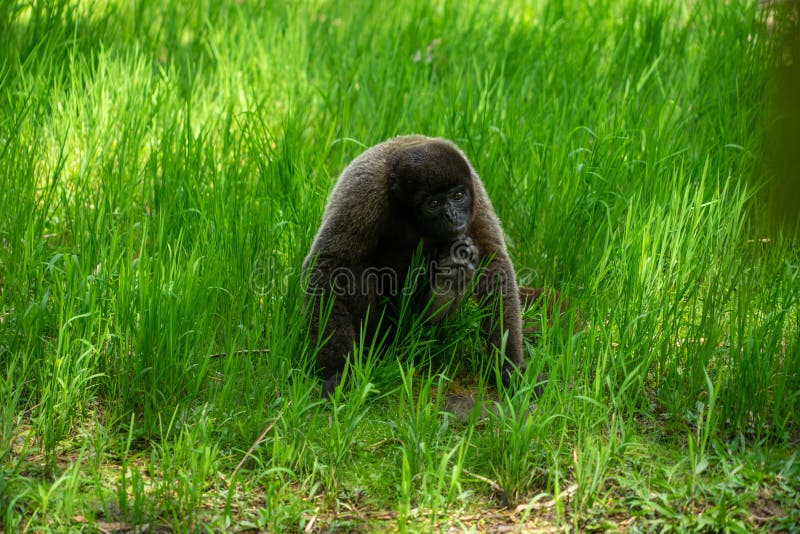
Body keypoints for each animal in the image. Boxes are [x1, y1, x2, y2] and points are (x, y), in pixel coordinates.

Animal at [303, 135, 526, 397]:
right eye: (434, 203)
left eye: (458, 196)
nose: (452, 216)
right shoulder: (364, 191)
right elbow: (329, 264)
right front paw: (339, 371)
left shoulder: (475, 189)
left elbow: (494, 262)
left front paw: (509, 367)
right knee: (354, 273)